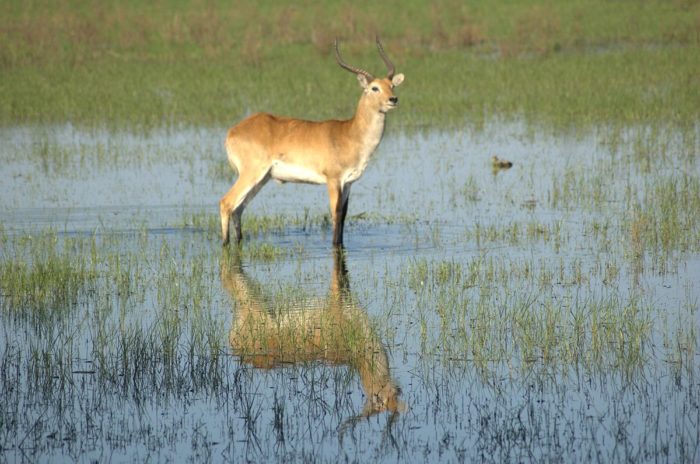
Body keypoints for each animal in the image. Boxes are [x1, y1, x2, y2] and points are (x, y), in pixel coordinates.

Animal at [219, 38, 404, 248]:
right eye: (374, 88)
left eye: (392, 85)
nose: (393, 99)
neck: (350, 133)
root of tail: (233, 131)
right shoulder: (333, 180)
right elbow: (335, 214)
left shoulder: (348, 183)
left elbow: (344, 215)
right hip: (252, 174)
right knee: (226, 203)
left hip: (262, 179)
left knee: (238, 209)